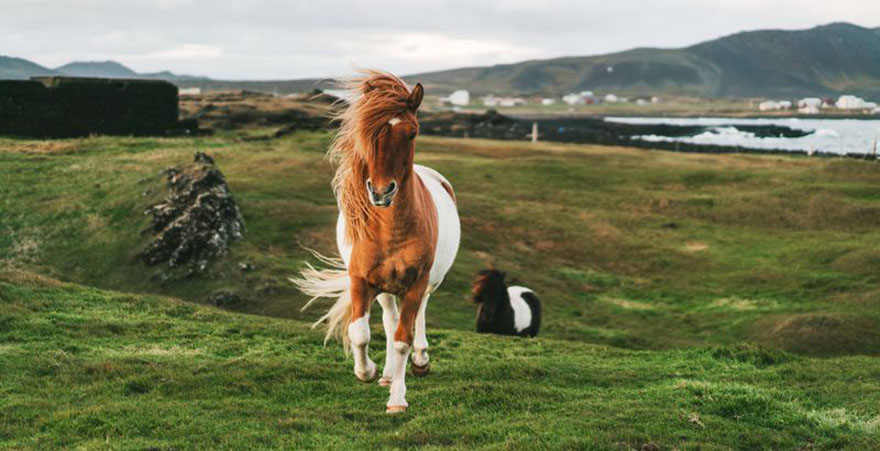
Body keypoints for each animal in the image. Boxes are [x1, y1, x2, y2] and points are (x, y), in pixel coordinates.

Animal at [294, 69, 464, 414]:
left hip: (427, 283)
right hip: (385, 289)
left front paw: (397, 399)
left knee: (417, 317)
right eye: (368, 132)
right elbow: (360, 333)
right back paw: (386, 373)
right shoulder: (361, 280)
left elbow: (402, 339)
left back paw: (419, 361)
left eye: (412, 134)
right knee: (388, 319)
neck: (391, 229)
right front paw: (368, 372)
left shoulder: (416, 283)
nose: (382, 192)